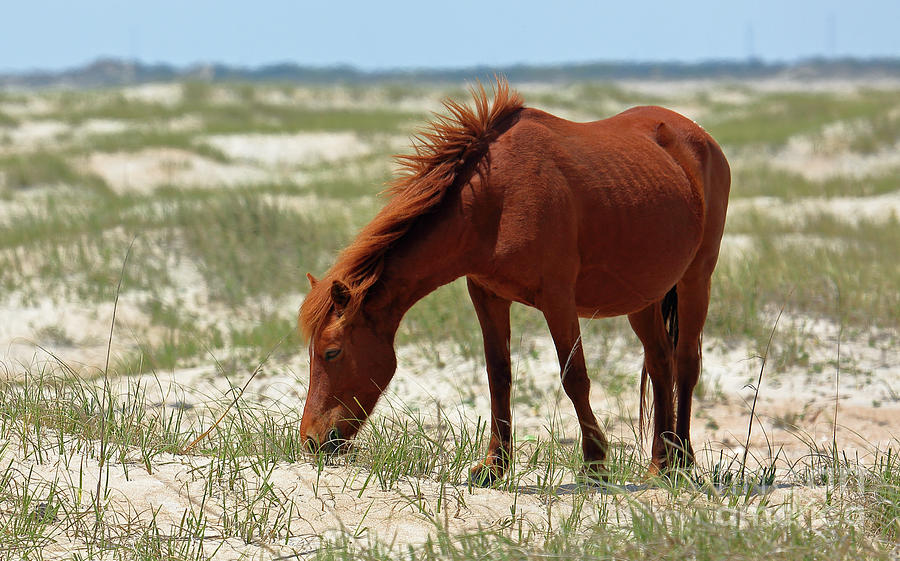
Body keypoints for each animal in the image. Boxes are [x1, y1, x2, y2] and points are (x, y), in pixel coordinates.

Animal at [298, 79, 728, 482]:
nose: (311, 441)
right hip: (643, 296)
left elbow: (574, 377)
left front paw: (595, 463)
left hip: (696, 279)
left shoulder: (557, 298)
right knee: (660, 363)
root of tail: (700, 136)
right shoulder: (487, 295)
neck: (495, 201)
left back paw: (683, 459)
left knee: (686, 364)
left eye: (332, 352)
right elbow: (499, 376)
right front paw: (494, 465)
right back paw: (661, 464)